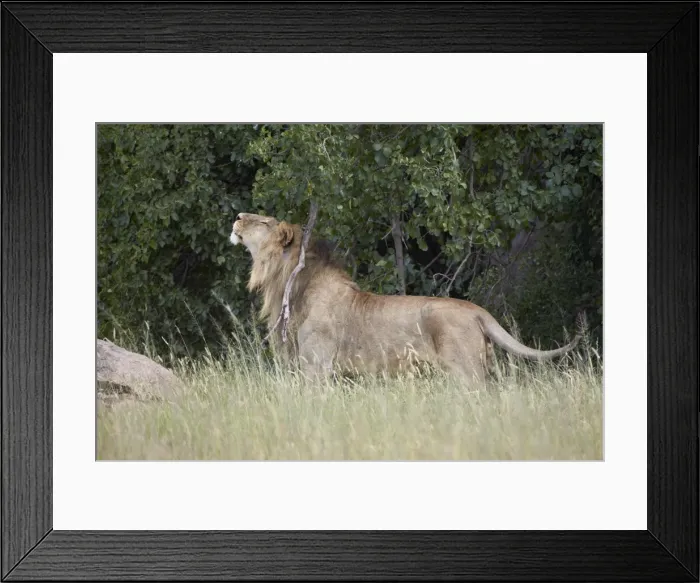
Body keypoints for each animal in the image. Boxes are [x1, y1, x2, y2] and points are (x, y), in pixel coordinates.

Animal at [230, 212, 580, 383]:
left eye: (262, 221)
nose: (237, 215)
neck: (289, 283)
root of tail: (477, 310)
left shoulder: (315, 365)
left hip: (466, 372)